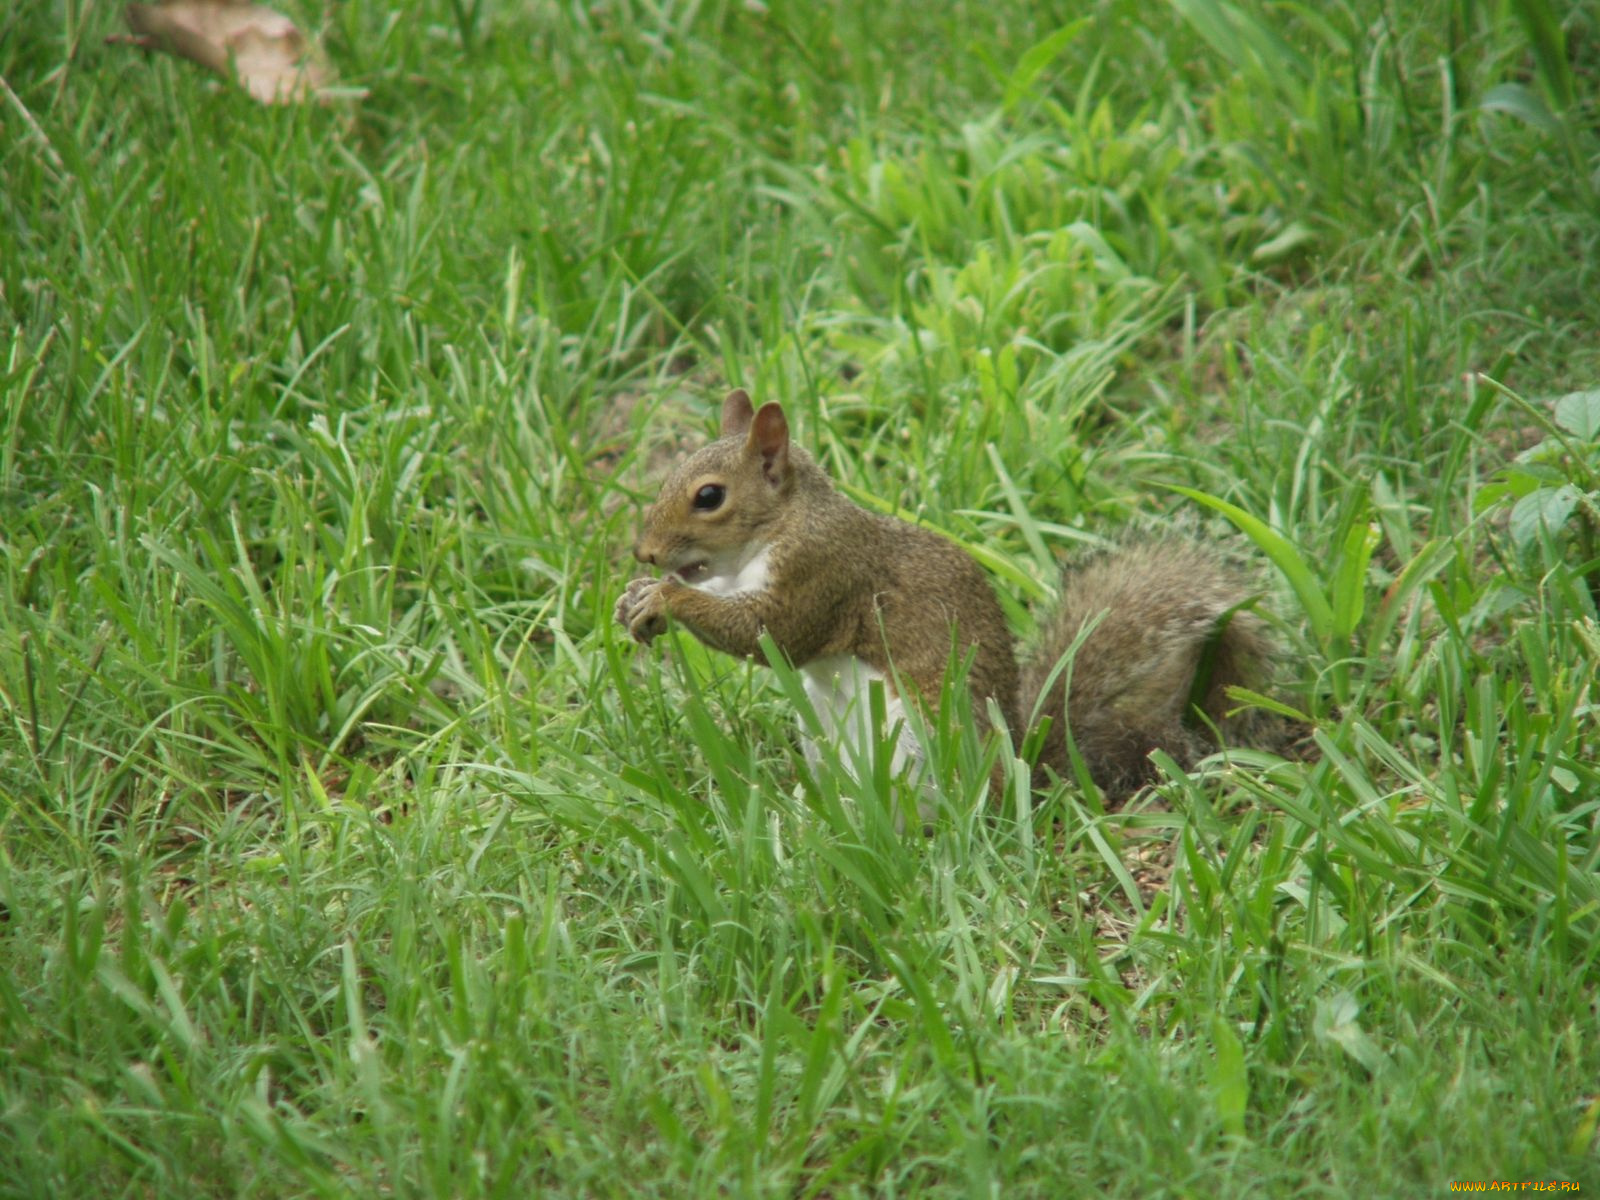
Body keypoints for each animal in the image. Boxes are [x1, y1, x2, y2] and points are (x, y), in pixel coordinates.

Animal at [611, 390, 1273, 803]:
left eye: (709, 496)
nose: (644, 552)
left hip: (922, 741)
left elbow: (771, 632)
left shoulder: (823, 572)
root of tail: (1025, 770)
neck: (778, 527)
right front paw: (637, 597)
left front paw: (667, 600)